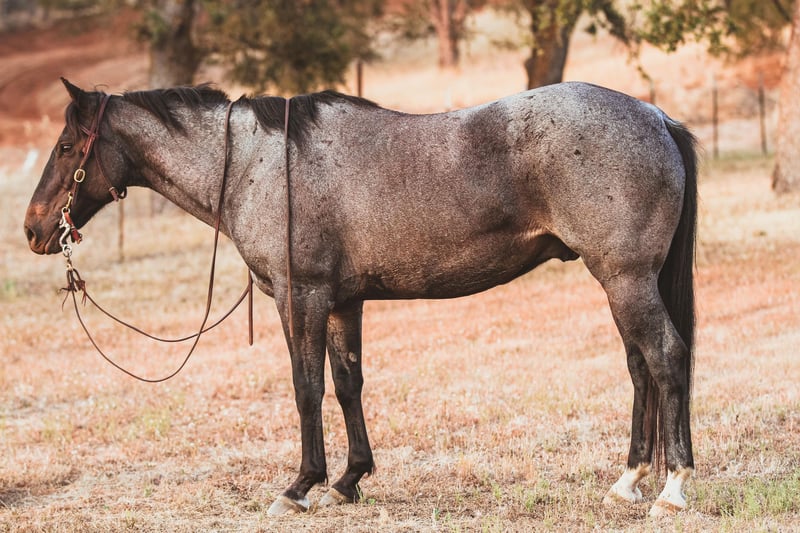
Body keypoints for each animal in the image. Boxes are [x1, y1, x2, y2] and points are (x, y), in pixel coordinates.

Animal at [24, 78, 697, 517]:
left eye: (66, 148)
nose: (32, 230)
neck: (259, 164)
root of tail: (655, 116)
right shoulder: (344, 303)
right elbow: (348, 384)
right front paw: (350, 479)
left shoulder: (300, 297)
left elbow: (306, 388)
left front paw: (300, 485)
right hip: (622, 283)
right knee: (640, 367)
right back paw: (630, 479)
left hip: (626, 279)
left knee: (665, 358)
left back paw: (673, 487)